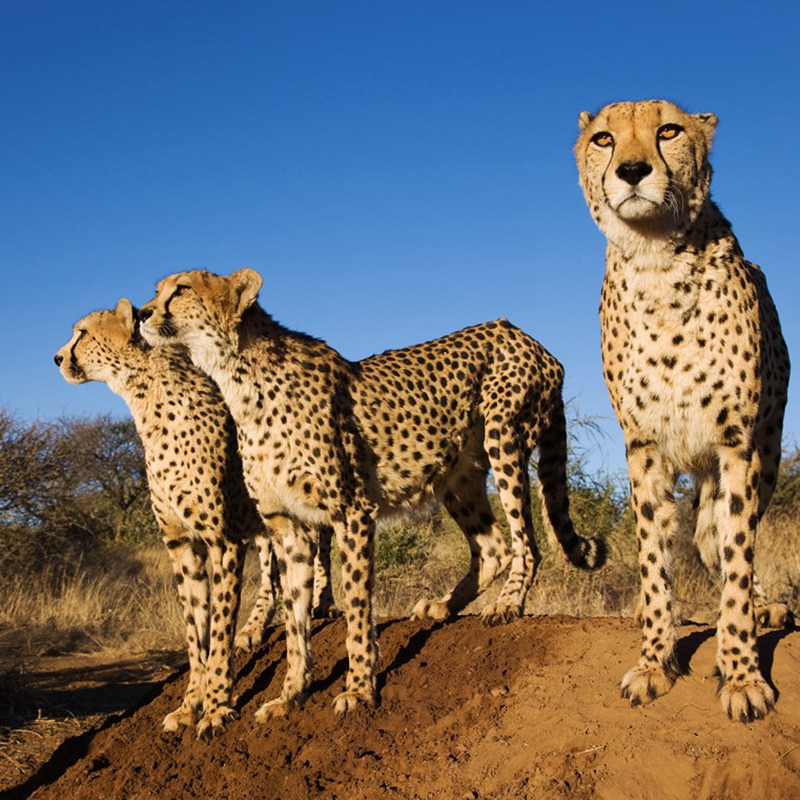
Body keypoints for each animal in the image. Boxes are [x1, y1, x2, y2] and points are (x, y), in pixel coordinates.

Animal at [53, 298, 334, 736]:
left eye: (82, 332)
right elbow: (193, 632)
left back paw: (323, 604)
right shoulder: (180, 545)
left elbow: (217, 631)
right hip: (261, 523)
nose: (57, 357)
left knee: (321, 551)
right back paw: (254, 629)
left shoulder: (222, 541)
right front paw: (190, 705)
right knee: (272, 571)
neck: (145, 401)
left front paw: (217, 707)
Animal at [138, 270, 604, 720]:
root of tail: (530, 339)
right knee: (492, 547)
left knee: (526, 540)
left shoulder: (351, 512)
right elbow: (295, 621)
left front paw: (359, 689)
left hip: (504, 437)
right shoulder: (289, 527)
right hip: (457, 476)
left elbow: (358, 608)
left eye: (181, 289)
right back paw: (442, 607)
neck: (239, 379)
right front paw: (290, 695)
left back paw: (507, 605)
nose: (142, 313)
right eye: (157, 290)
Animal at [572, 98, 792, 720]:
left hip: (763, 455)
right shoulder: (643, 447)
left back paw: (760, 611)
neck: (656, 262)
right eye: (604, 139)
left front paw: (741, 673)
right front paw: (655, 660)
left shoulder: (736, 444)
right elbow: (654, 557)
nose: (632, 171)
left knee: (726, 534)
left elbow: (738, 556)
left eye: (668, 131)